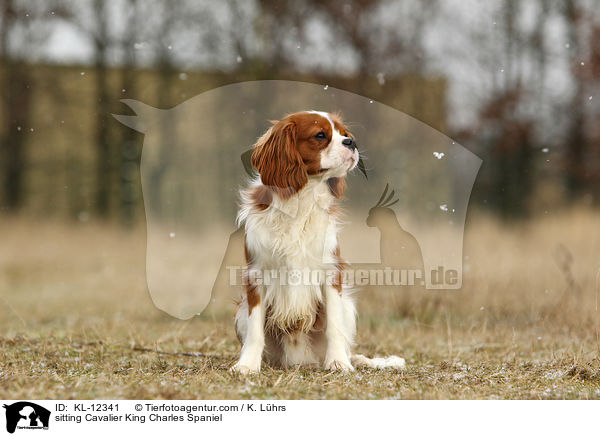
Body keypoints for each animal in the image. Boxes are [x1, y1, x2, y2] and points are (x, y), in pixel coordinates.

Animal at [232, 110, 406, 372]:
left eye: (344, 134)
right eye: (321, 135)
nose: (351, 142)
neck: (303, 198)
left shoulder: (330, 273)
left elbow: (333, 326)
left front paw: (338, 362)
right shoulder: (256, 276)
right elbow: (255, 330)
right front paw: (248, 365)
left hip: (348, 307)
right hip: (240, 312)